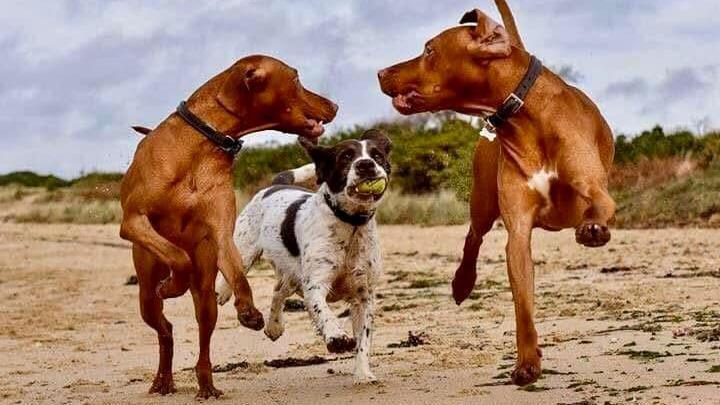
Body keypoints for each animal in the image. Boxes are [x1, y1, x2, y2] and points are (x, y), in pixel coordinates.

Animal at [120, 54, 338, 398]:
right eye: (296, 79)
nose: (335, 105)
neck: (202, 144)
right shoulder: (132, 221)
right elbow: (177, 256)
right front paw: (172, 285)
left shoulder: (220, 234)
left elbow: (238, 275)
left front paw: (248, 311)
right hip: (145, 291)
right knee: (165, 327)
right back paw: (162, 379)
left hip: (205, 293)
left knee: (199, 334)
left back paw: (205, 384)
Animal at [376, 0, 612, 386]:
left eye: (429, 50)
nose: (380, 72)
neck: (525, 116)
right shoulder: (517, 233)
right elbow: (523, 306)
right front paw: (527, 362)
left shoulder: (594, 188)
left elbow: (598, 205)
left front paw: (594, 229)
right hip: (484, 202)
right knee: (473, 236)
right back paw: (462, 283)